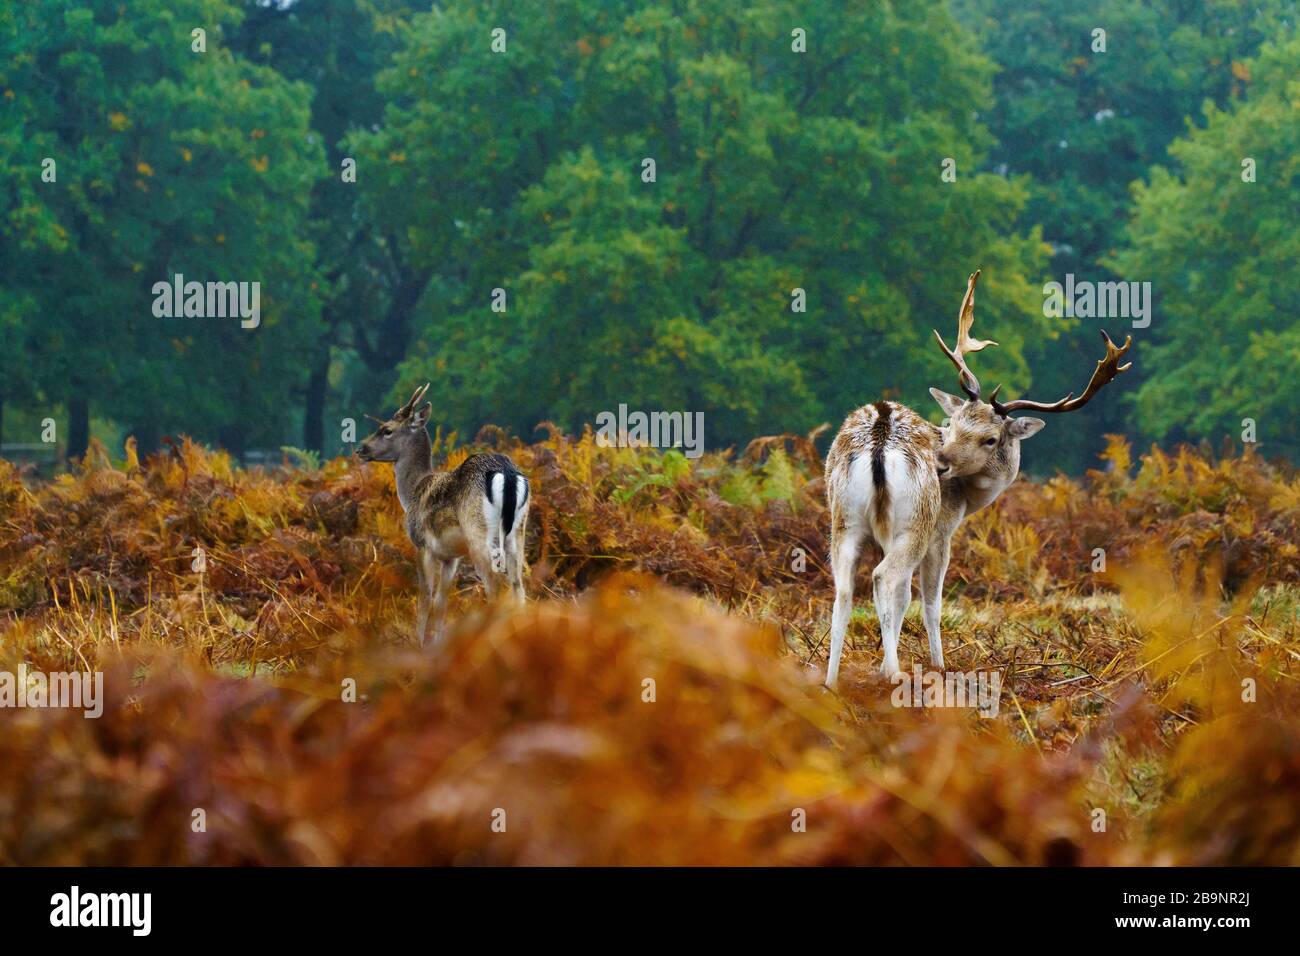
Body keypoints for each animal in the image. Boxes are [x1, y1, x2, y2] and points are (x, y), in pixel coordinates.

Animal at [356, 385, 527, 647]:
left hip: (478, 532)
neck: (411, 494)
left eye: (387, 429)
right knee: (519, 584)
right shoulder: (450, 557)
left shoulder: (422, 545)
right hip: (518, 531)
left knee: (495, 583)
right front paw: (437, 643)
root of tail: (507, 474)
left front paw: (419, 643)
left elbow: (425, 598)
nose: (360, 449)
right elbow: (441, 602)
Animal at [826, 269, 1133, 686]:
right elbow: (926, 601)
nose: (940, 463)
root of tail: (878, 441)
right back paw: (894, 673)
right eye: (952, 423)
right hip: (913, 524)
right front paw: (936, 666)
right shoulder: (941, 532)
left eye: (990, 438)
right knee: (883, 578)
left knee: (843, 590)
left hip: (843, 520)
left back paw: (830, 682)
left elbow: (902, 598)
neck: (969, 499)